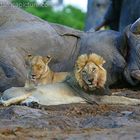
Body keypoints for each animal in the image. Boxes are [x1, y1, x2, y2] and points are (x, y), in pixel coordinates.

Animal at [0, 53, 140, 106]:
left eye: (94, 69)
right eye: (84, 71)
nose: (90, 80)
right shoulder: (97, 99)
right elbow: (121, 98)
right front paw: (135, 101)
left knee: (23, 101)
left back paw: (34, 104)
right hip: (28, 91)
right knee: (10, 102)